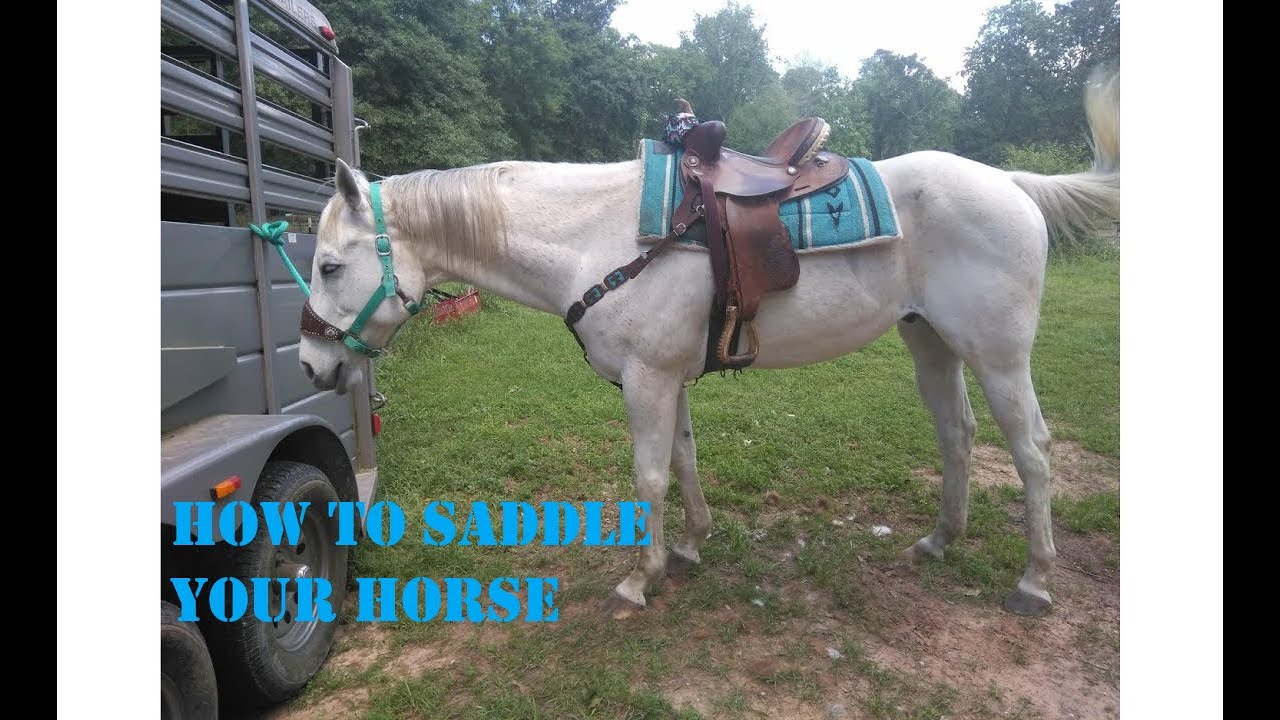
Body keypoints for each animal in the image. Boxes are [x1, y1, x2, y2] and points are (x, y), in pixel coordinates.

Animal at [298, 70, 1120, 618]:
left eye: (330, 266)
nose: (311, 361)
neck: (596, 237)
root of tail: (1011, 183)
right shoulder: (669, 376)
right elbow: (685, 460)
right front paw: (691, 547)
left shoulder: (647, 379)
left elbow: (649, 476)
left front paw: (642, 577)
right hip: (931, 343)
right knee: (958, 434)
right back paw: (939, 542)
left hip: (999, 354)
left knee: (1031, 449)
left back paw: (1034, 581)